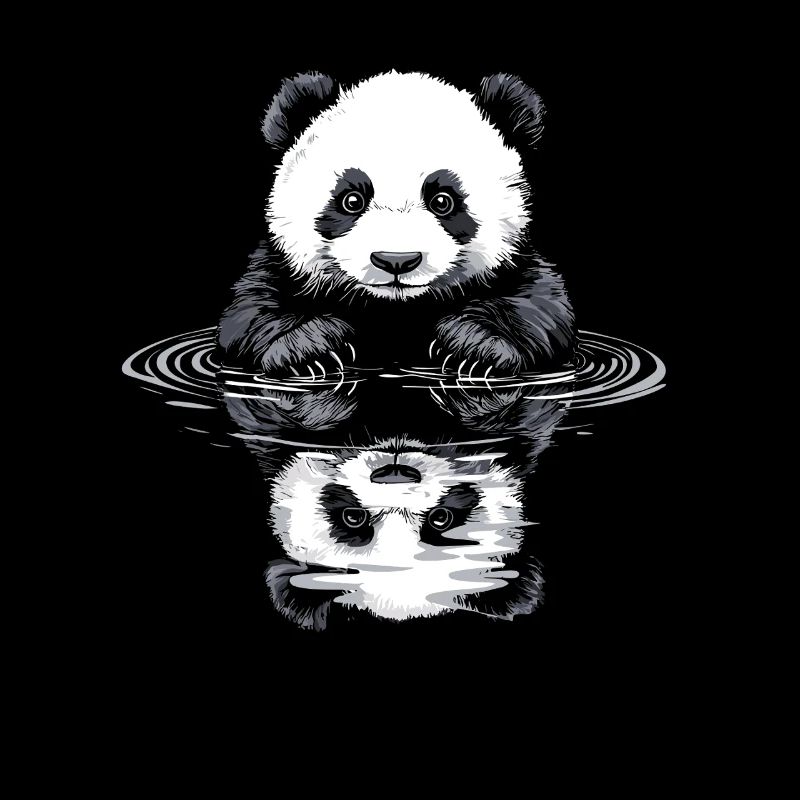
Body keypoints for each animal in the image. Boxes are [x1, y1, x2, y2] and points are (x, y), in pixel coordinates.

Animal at [218, 71, 575, 377]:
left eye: (442, 200)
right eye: (352, 200)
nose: (396, 261)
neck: (395, 311)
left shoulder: (519, 266)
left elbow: (541, 308)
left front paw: (475, 347)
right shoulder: (278, 266)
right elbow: (248, 313)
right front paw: (309, 349)